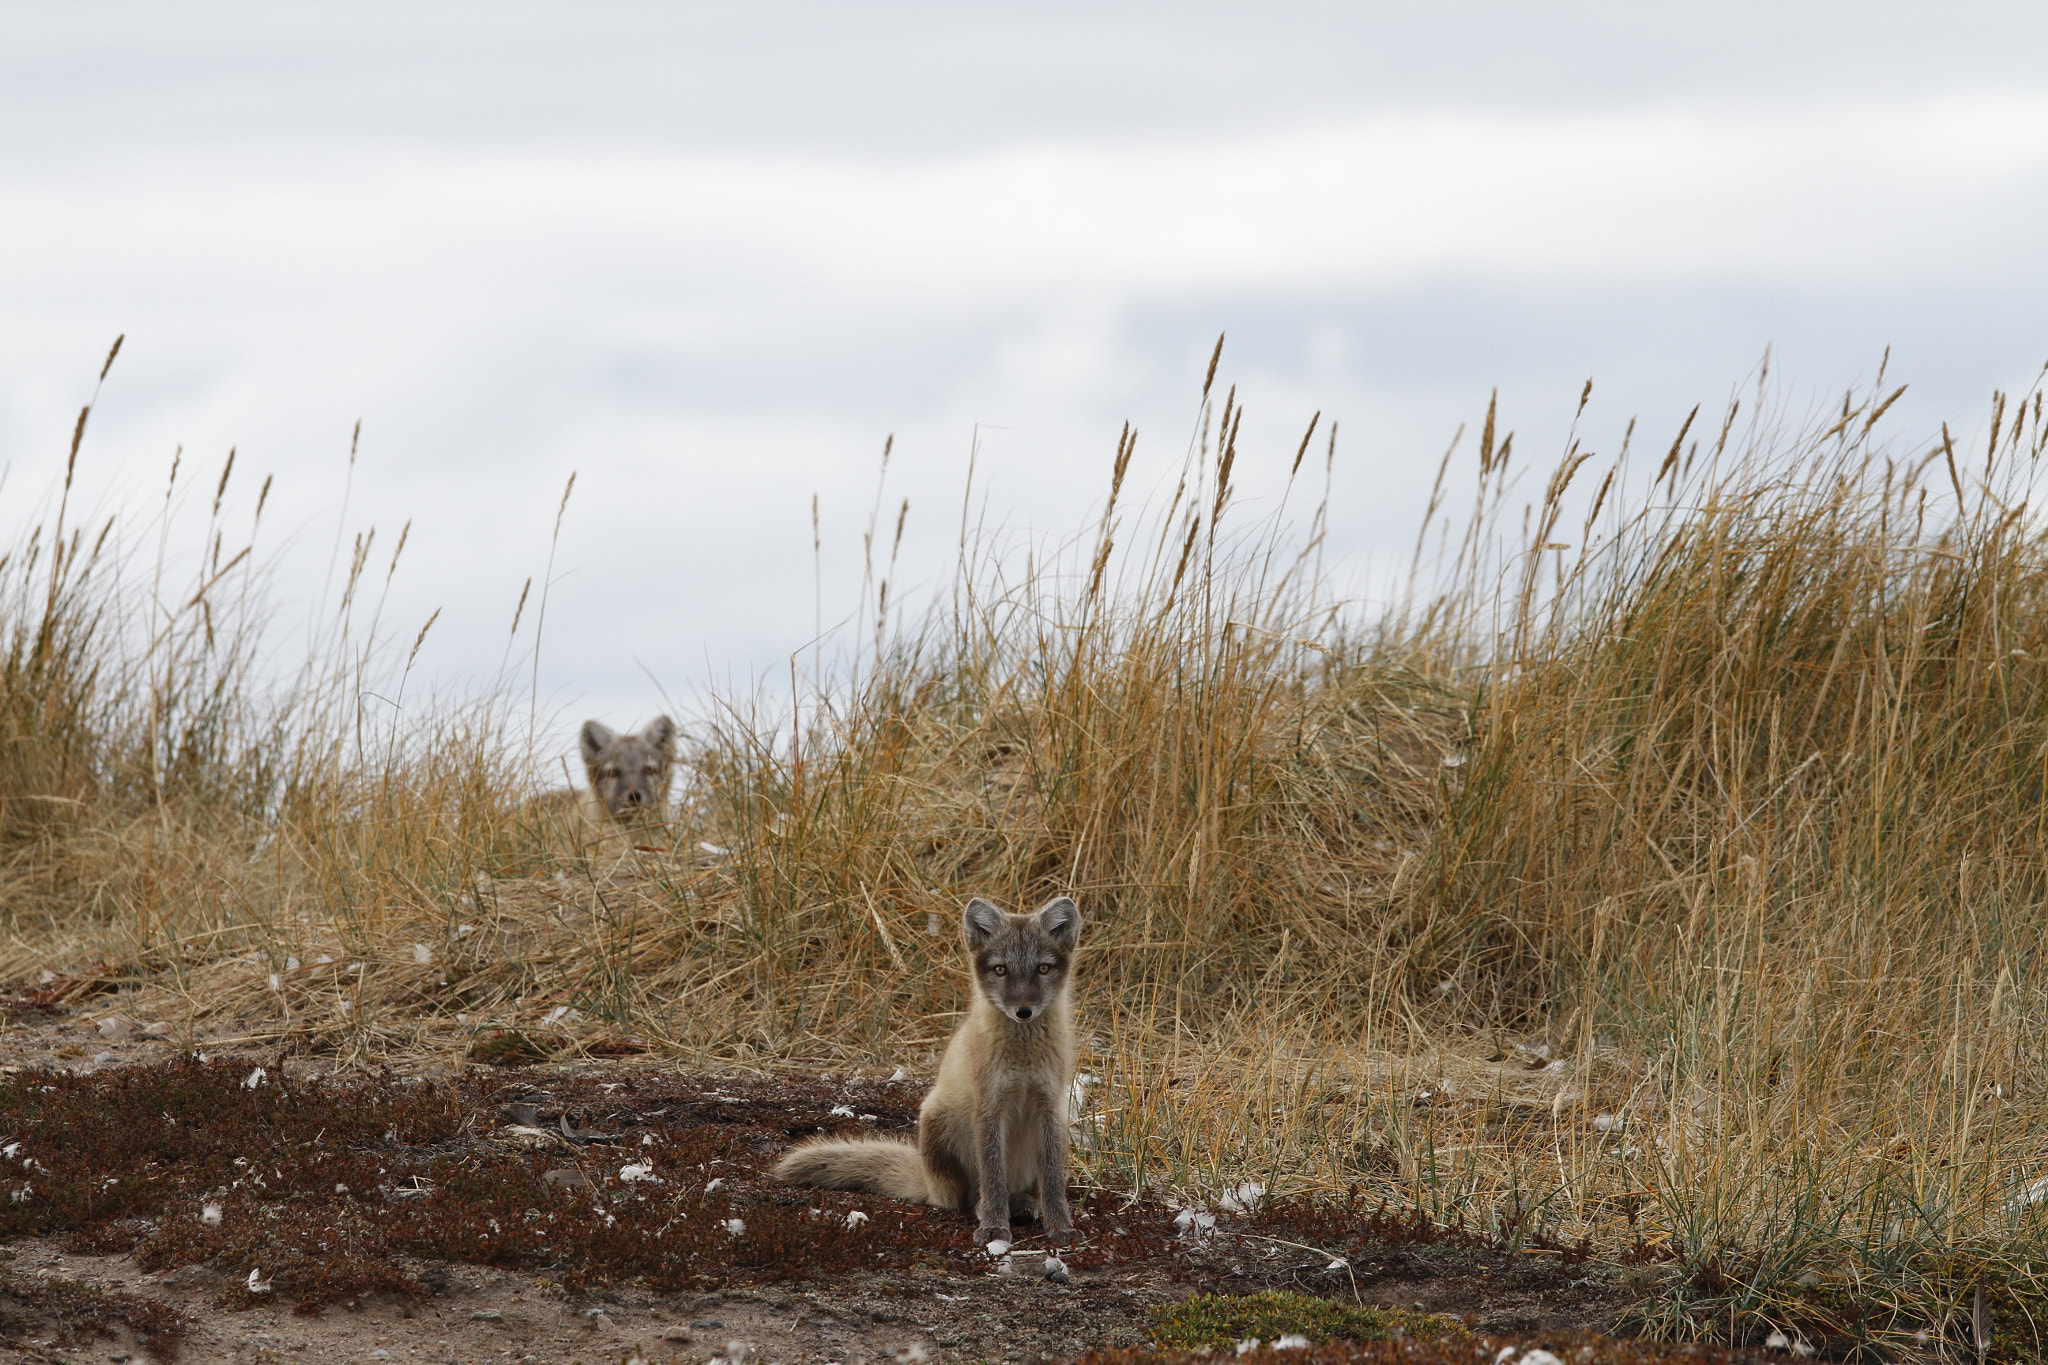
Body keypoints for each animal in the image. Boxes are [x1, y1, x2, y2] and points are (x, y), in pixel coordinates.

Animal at [770, 896, 1089, 1252]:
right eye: (1001, 969)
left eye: (1043, 968)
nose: (1023, 1011)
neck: (1023, 1056)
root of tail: (926, 1180)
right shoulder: (989, 1107)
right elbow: (993, 1177)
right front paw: (994, 1228)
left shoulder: (1050, 1105)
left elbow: (1053, 1181)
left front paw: (1061, 1227)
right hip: (936, 1120)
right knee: (966, 1198)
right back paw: (988, 1208)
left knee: (1024, 1189)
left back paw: (1022, 1203)